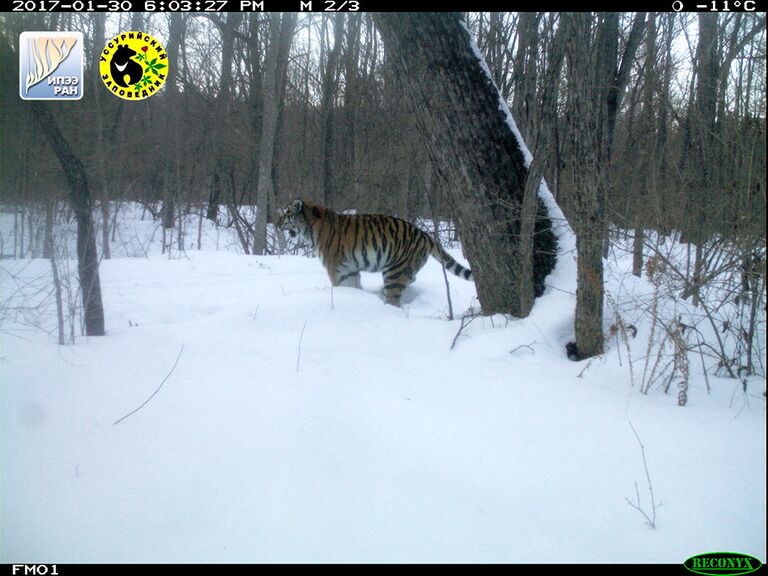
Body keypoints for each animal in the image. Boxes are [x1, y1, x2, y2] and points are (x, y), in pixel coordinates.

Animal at [276, 198, 474, 306]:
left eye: (285, 214)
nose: (276, 224)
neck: (310, 228)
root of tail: (426, 235)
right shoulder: (350, 269)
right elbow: (355, 287)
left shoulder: (337, 270)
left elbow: (340, 287)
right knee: (410, 280)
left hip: (394, 272)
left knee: (394, 299)